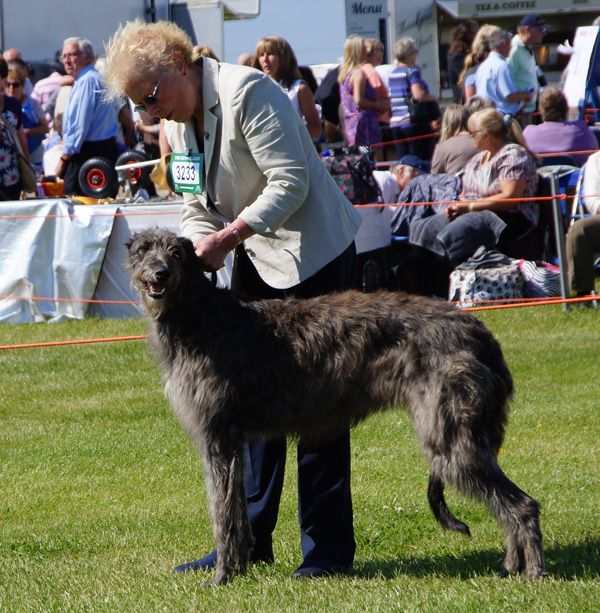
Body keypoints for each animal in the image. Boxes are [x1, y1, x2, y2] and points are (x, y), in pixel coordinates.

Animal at [125, 228, 544, 584]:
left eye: (176, 253)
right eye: (143, 249)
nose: (160, 274)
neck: (198, 314)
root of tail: (481, 334)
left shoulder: (218, 438)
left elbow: (222, 512)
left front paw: (223, 576)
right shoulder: (233, 441)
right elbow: (238, 511)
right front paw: (239, 566)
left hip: (449, 435)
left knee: (522, 504)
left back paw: (534, 573)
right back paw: (512, 565)